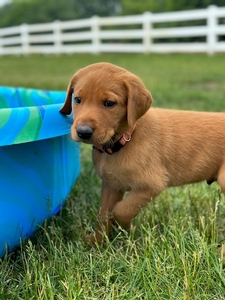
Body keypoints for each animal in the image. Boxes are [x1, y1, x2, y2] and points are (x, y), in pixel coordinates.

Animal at [59, 62, 225, 245]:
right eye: (77, 100)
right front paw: (97, 241)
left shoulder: (151, 185)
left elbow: (120, 210)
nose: (83, 132)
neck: (125, 138)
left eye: (109, 103)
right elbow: (103, 214)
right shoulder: (111, 185)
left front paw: (126, 229)